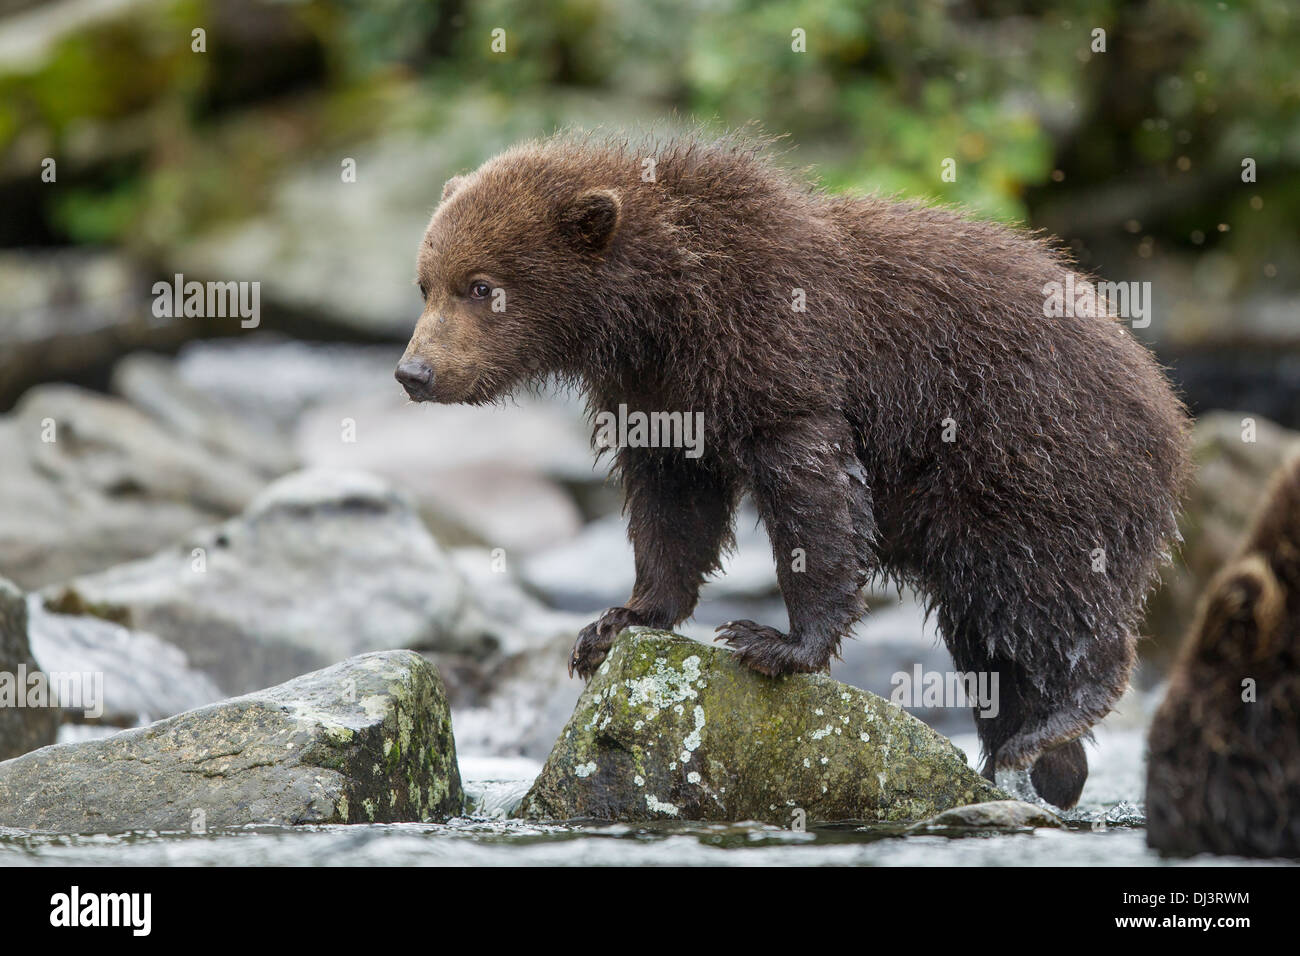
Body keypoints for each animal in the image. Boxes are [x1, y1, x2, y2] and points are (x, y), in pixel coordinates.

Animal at [397, 131, 1190, 809]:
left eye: (481, 285)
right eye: (426, 282)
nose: (415, 372)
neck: (664, 309)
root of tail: (1165, 398)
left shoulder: (780, 356)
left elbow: (815, 493)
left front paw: (774, 642)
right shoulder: (662, 398)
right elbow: (672, 505)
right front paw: (616, 622)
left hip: (1035, 467)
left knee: (1047, 597)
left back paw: (1052, 728)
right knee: (989, 632)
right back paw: (1037, 753)